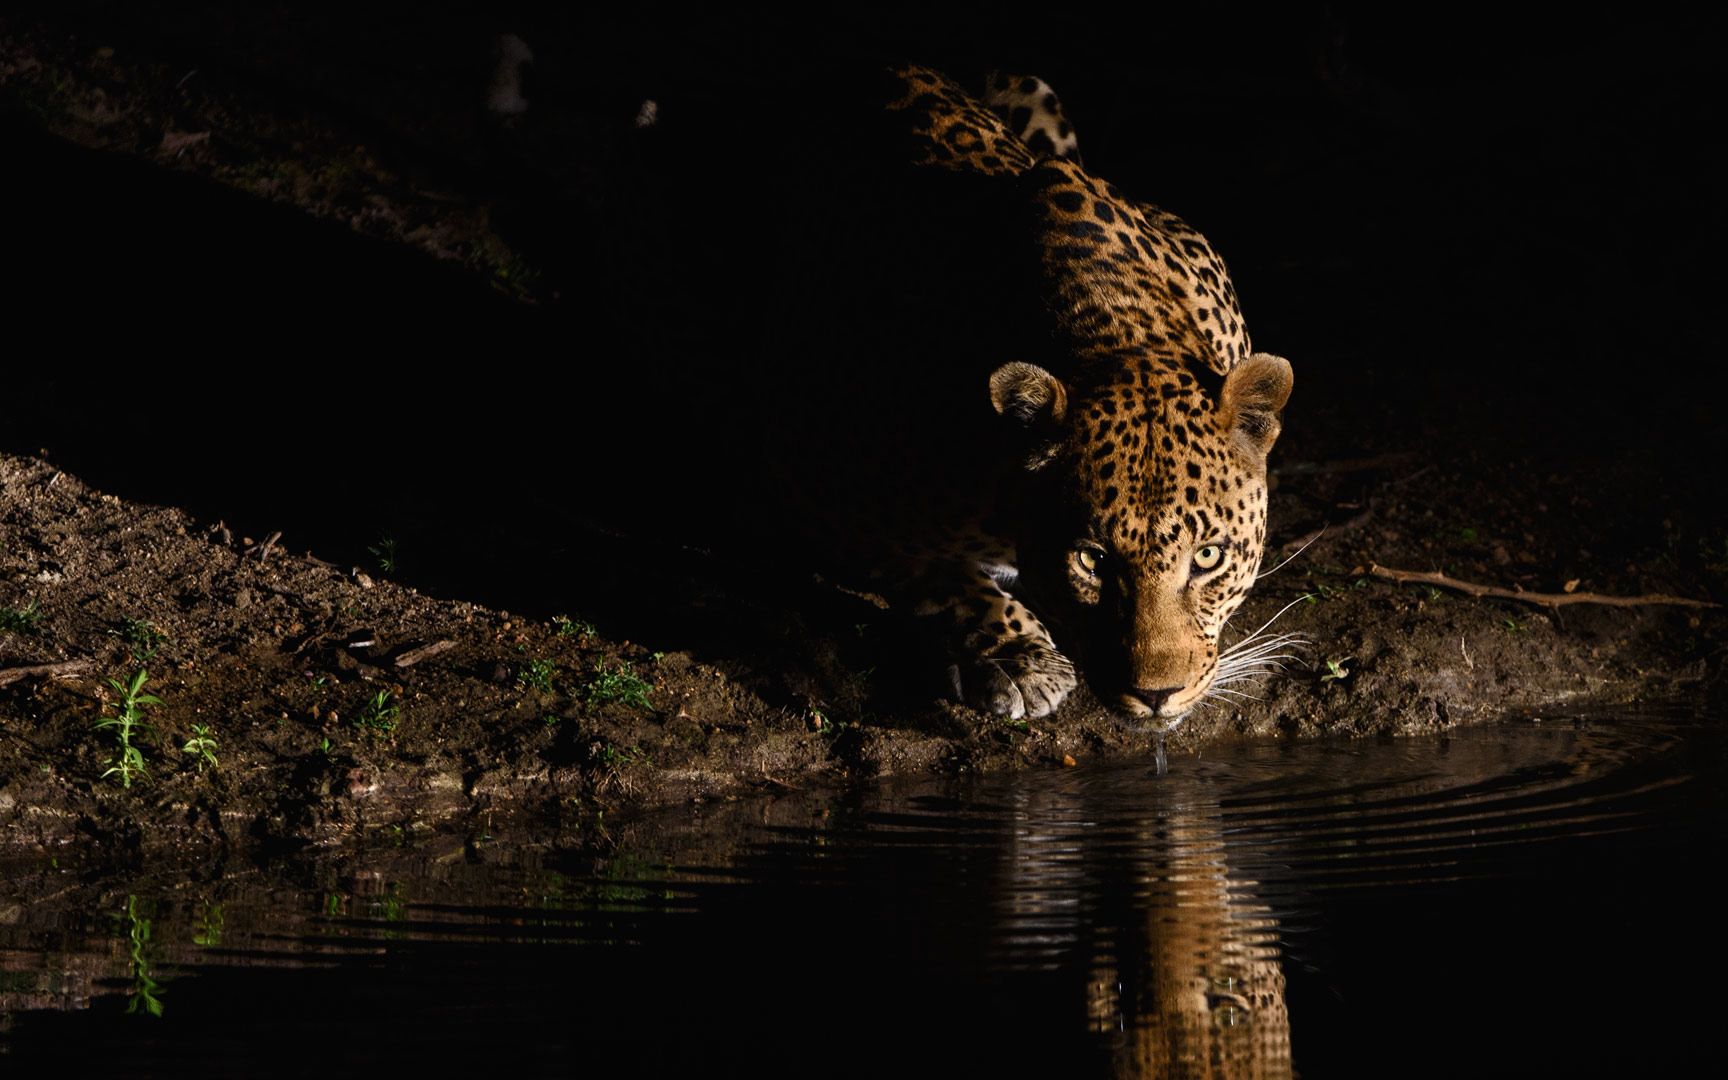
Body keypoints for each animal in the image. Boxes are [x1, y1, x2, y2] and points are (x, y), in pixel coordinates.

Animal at [749, 65, 1292, 725]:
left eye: (1209, 556)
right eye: (1091, 560)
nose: (1158, 695)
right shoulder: (809, 480)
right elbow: (935, 572)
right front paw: (1018, 658)